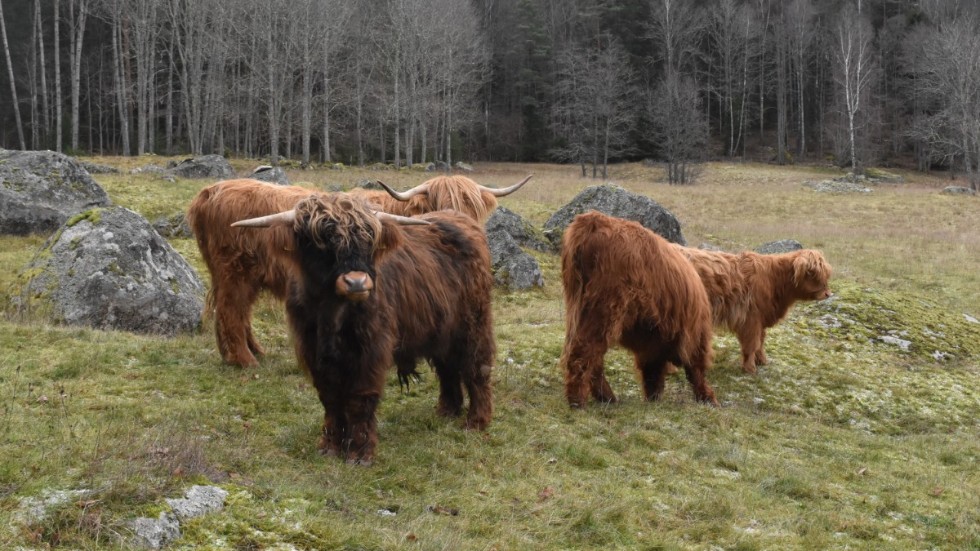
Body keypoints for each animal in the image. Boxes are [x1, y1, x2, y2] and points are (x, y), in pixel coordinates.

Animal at [189, 175, 532, 368]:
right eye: (440, 201)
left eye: (474, 207)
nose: (461, 225)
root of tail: (208, 192)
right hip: (234, 272)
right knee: (231, 311)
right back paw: (244, 362)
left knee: (240, 311)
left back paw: (254, 352)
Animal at [232, 194, 498, 466]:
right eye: (320, 242)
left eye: (369, 239)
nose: (357, 282)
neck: (331, 313)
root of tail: (461, 219)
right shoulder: (314, 352)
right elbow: (330, 399)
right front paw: (330, 446)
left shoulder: (370, 351)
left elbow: (360, 400)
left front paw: (359, 454)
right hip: (441, 327)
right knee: (448, 368)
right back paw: (447, 412)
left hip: (473, 323)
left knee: (477, 366)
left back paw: (476, 421)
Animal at [560, 211, 720, 410]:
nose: (654, 398)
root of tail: (593, 220)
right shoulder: (694, 336)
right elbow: (695, 369)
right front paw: (708, 398)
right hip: (604, 307)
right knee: (584, 351)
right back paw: (579, 402)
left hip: (578, 305)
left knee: (588, 355)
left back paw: (606, 397)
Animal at [672, 247, 836, 374]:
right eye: (812, 273)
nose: (828, 294)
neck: (774, 281)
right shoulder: (751, 319)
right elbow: (752, 344)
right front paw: (750, 368)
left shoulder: (761, 319)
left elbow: (761, 341)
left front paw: (762, 360)